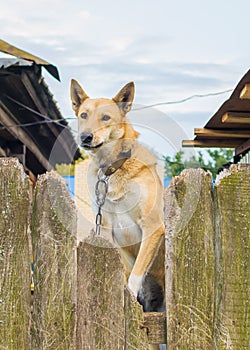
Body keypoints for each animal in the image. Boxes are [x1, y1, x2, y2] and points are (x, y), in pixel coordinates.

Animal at [70, 80, 165, 314]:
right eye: (83, 115)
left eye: (106, 117)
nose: (85, 137)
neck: (112, 168)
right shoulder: (106, 228)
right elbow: (122, 272)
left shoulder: (152, 226)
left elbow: (135, 275)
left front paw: (128, 297)